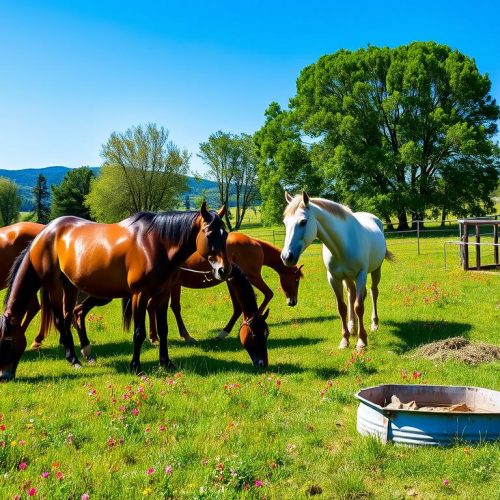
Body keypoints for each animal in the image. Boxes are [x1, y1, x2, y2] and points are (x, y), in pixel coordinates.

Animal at [0, 202, 229, 378]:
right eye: (209, 234)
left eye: (225, 235)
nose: (223, 270)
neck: (156, 245)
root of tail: (44, 233)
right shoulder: (140, 295)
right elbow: (139, 332)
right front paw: (136, 368)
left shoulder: (162, 294)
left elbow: (163, 330)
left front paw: (166, 363)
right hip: (54, 285)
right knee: (60, 319)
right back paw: (73, 359)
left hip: (70, 286)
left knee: (69, 315)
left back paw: (83, 354)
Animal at [280, 193, 392, 350]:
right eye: (285, 223)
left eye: (303, 222)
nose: (286, 257)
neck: (342, 244)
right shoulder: (334, 278)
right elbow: (342, 308)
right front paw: (345, 339)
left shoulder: (361, 275)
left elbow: (359, 307)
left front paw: (362, 341)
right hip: (348, 278)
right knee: (351, 295)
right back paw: (352, 327)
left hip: (376, 270)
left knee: (373, 292)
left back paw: (374, 324)